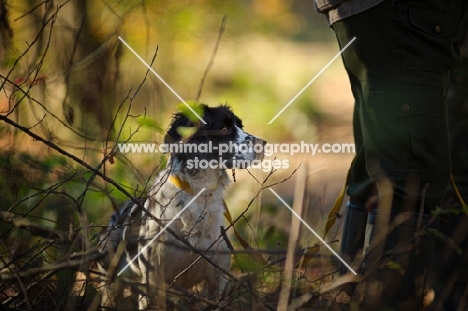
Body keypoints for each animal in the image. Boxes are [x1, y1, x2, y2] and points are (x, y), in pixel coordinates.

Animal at [99, 105, 264, 310]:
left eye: (240, 126)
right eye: (224, 128)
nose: (264, 143)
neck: (198, 194)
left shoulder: (217, 279)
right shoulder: (153, 280)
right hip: (111, 283)